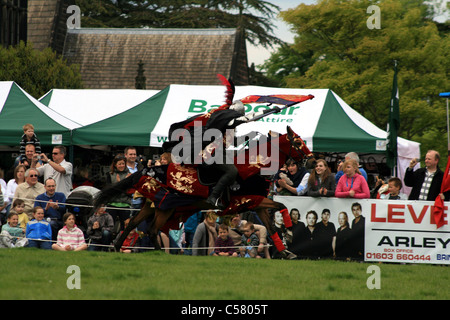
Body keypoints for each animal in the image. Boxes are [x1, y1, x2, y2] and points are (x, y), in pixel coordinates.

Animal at [94, 125, 312, 258]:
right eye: (298, 142)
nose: (310, 160)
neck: (251, 169)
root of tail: (147, 170)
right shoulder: (249, 200)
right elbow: (281, 204)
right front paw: (290, 229)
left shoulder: (257, 204)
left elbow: (272, 226)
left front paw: (285, 251)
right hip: (165, 207)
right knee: (153, 229)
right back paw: (161, 253)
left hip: (152, 205)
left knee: (132, 223)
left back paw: (116, 246)